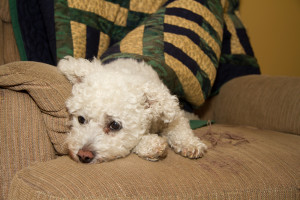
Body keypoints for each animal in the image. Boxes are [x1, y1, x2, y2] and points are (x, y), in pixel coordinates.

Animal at [57, 56, 207, 164]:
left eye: (114, 125)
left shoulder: (171, 114)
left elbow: (180, 128)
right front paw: (151, 145)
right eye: (81, 119)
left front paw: (190, 144)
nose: (83, 155)